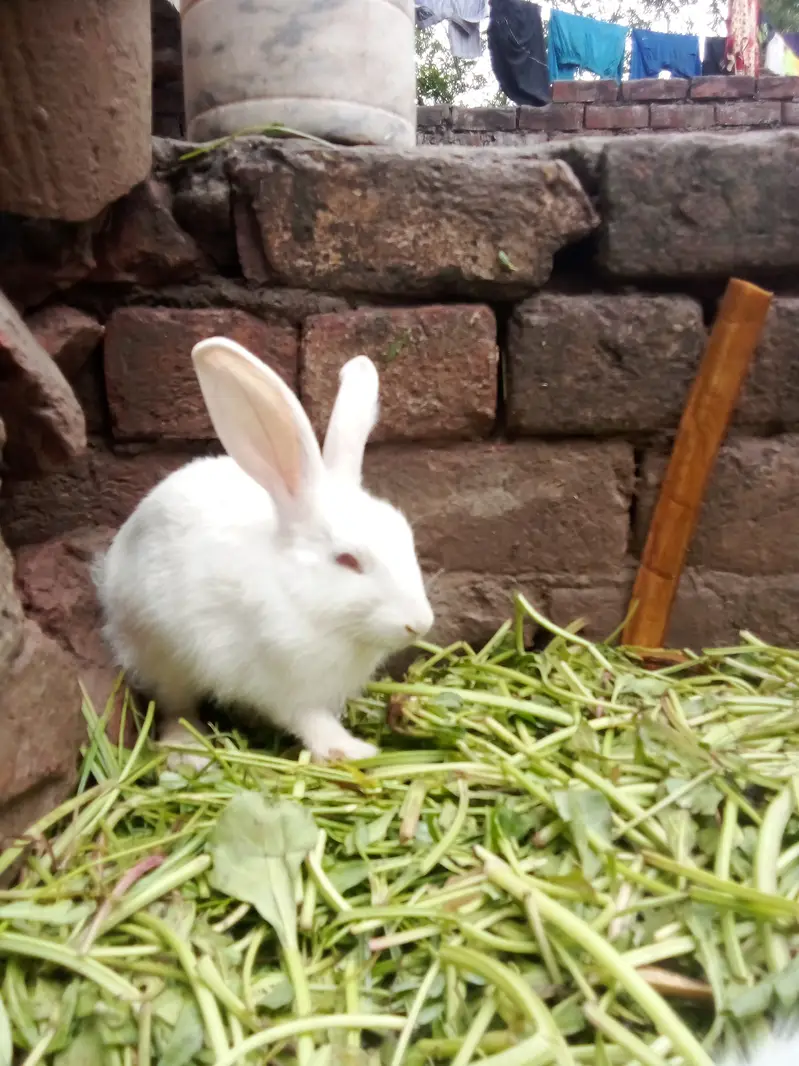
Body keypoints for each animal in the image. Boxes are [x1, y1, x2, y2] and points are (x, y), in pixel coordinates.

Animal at [93, 336, 434, 769]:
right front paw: (350, 750)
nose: (420, 623)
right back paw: (187, 750)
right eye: (348, 561)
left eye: (405, 537)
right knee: (175, 706)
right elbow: (310, 720)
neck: (307, 603)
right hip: (161, 652)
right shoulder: (282, 684)